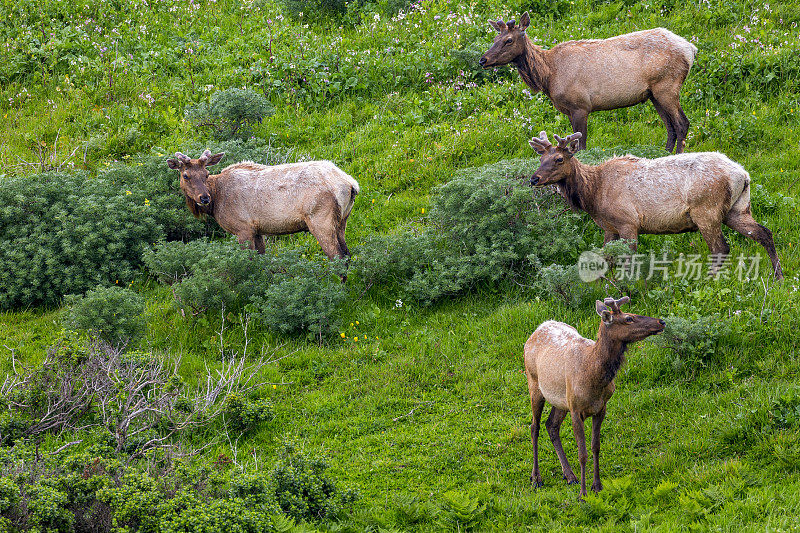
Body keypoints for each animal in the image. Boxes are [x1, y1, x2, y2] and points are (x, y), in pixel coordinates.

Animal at [166, 150, 360, 260]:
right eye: (186, 175)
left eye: (206, 174)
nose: (204, 198)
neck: (217, 201)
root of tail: (351, 185)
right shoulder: (257, 230)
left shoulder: (243, 228)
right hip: (342, 220)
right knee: (347, 254)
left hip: (320, 219)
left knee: (338, 257)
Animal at [478, 11, 696, 152]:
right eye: (495, 39)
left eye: (508, 40)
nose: (483, 59)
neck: (549, 76)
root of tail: (691, 49)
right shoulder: (569, 110)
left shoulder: (580, 105)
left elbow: (581, 146)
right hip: (653, 94)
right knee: (670, 126)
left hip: (667, 86)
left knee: (682, 123)